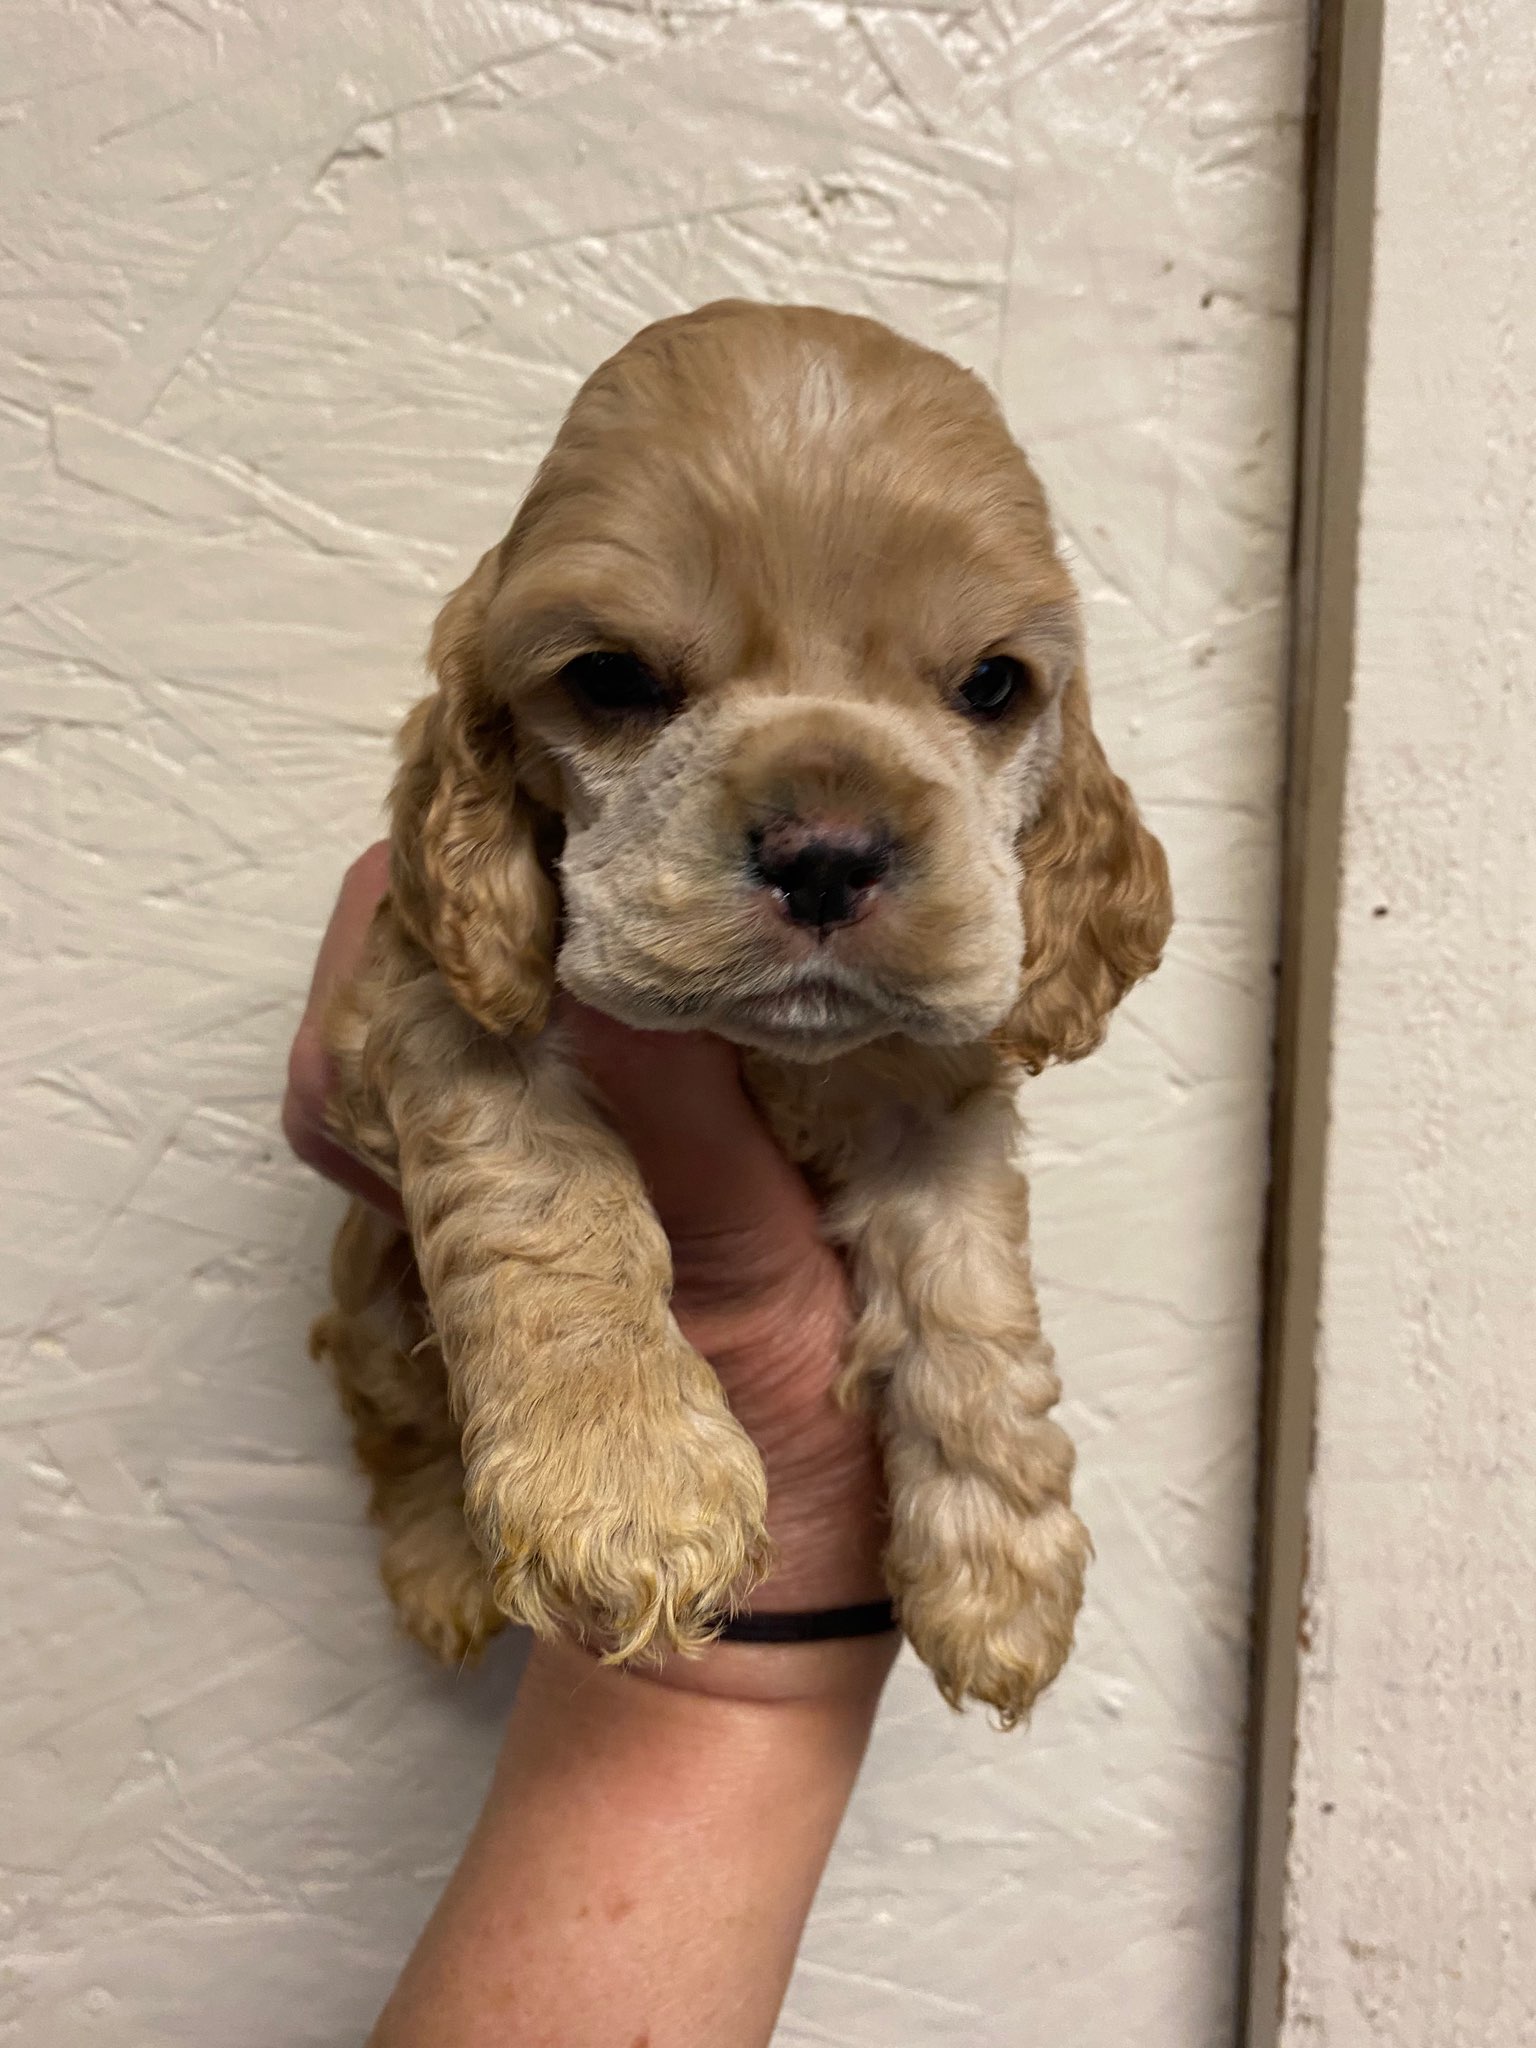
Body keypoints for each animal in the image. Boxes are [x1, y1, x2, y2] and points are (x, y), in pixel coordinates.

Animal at [315, 296, 1179, 1720]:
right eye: (610, 677)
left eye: (994, 684)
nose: (828, 853)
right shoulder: (434, 995)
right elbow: (542, 1197)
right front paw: (625, 1487)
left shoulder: (939, 1100)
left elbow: (973, 1298)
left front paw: (1002, 1574)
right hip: (375, 1302)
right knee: (389, 1411)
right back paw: (443, 1568)